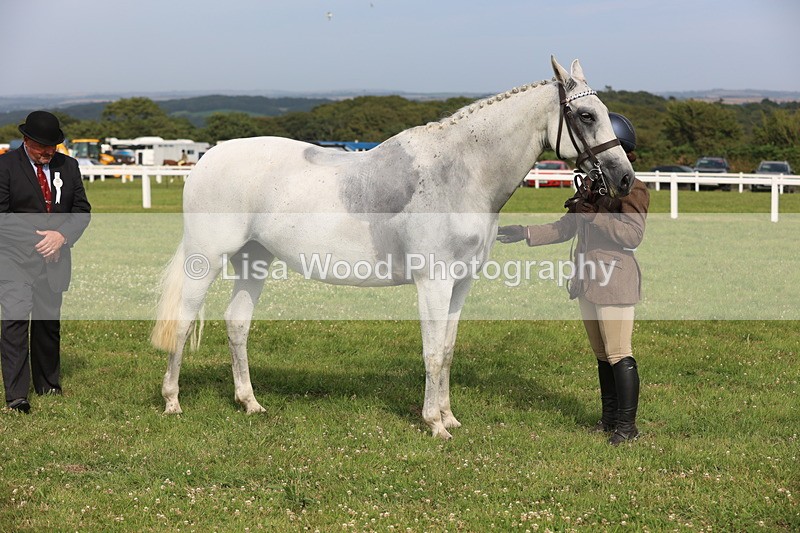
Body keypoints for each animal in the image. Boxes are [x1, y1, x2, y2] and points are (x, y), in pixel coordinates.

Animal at [151, 57, 634, 439]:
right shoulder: (433, 282)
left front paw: (449, 417)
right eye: (586, 115)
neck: (459, 175)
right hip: (207, 258)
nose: (624, 177)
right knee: (185, 319)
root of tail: (210, 157)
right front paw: (434, 424)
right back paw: (173, 402)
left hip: (254, 259)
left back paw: (249, 402)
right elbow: (432, 351)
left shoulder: (461, 284)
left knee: (237, 323)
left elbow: (448, 350)